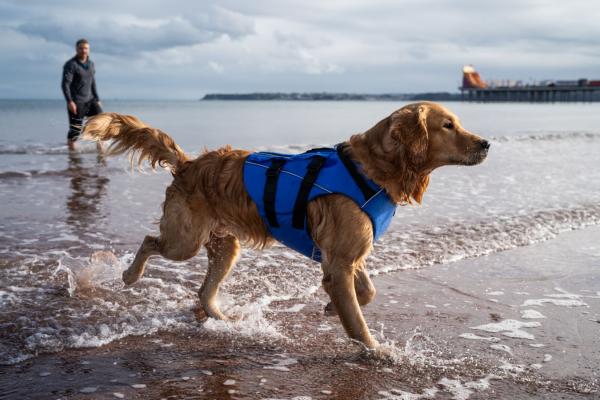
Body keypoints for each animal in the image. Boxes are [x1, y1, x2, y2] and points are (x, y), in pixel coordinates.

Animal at [83, 101, 488, 348]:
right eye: (448, 125)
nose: (486, 143)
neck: (372, 171)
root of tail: (188, 164)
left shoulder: (346, 255)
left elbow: (368, 292)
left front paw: (331, 308)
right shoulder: (340, 261)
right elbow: (358, 322)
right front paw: (377, 352)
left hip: (225, 246)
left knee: (203, 291)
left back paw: (223, 319)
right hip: (185, 240)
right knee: (150, 241)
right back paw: (130, 275)